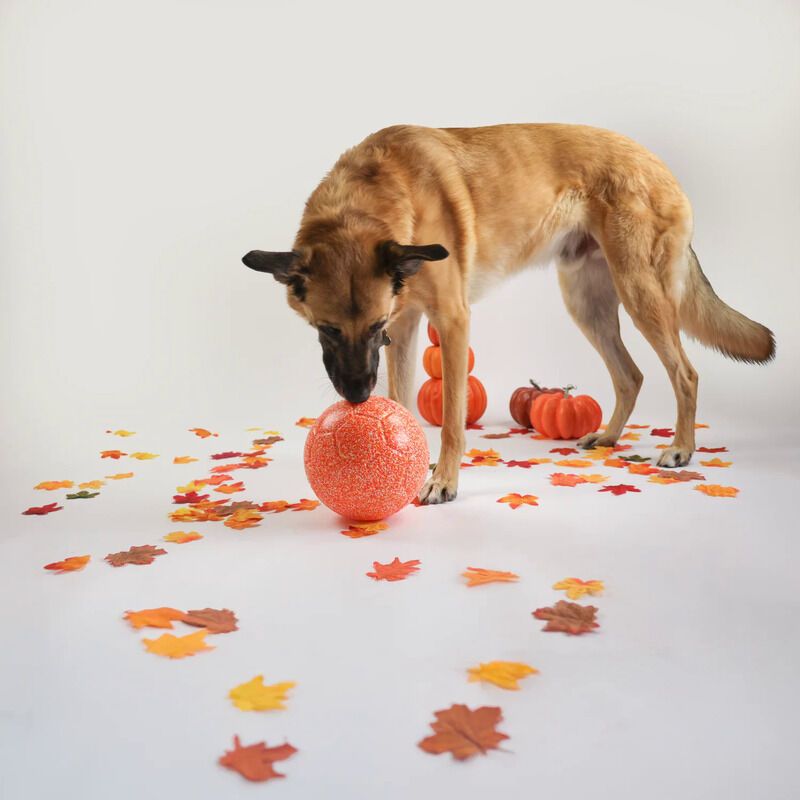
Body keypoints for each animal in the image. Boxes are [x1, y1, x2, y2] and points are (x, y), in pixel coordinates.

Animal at [244, 122, 776, 504]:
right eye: (327, 330)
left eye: (372, 327)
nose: (356, 398)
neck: (374, 195)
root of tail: (658, 163)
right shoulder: (406, 324)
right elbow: (401, 398)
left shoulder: (449, 321)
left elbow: (452, 418)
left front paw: (444, 481)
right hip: (587, 303)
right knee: (631, 375)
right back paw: (608, 435)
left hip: (640, 292)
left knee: (685, 373)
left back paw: (681, 448)